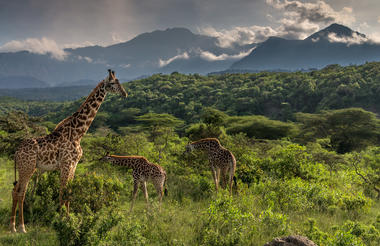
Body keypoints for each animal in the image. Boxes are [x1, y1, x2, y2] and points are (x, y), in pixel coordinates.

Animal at [8, 68, 127, 233]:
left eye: (119, 82)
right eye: (113, 83)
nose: (125, 93)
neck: (78, 133)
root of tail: (16, 152)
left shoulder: (73, 165)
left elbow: (69, 192)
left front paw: (69, 219)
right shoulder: (66, 164)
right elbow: (62, 192)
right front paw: (61, 221)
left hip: (23, 168)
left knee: (15, 191)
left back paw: (12, 226)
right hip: (28, 168)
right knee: (21, 192)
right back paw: (21, 227)